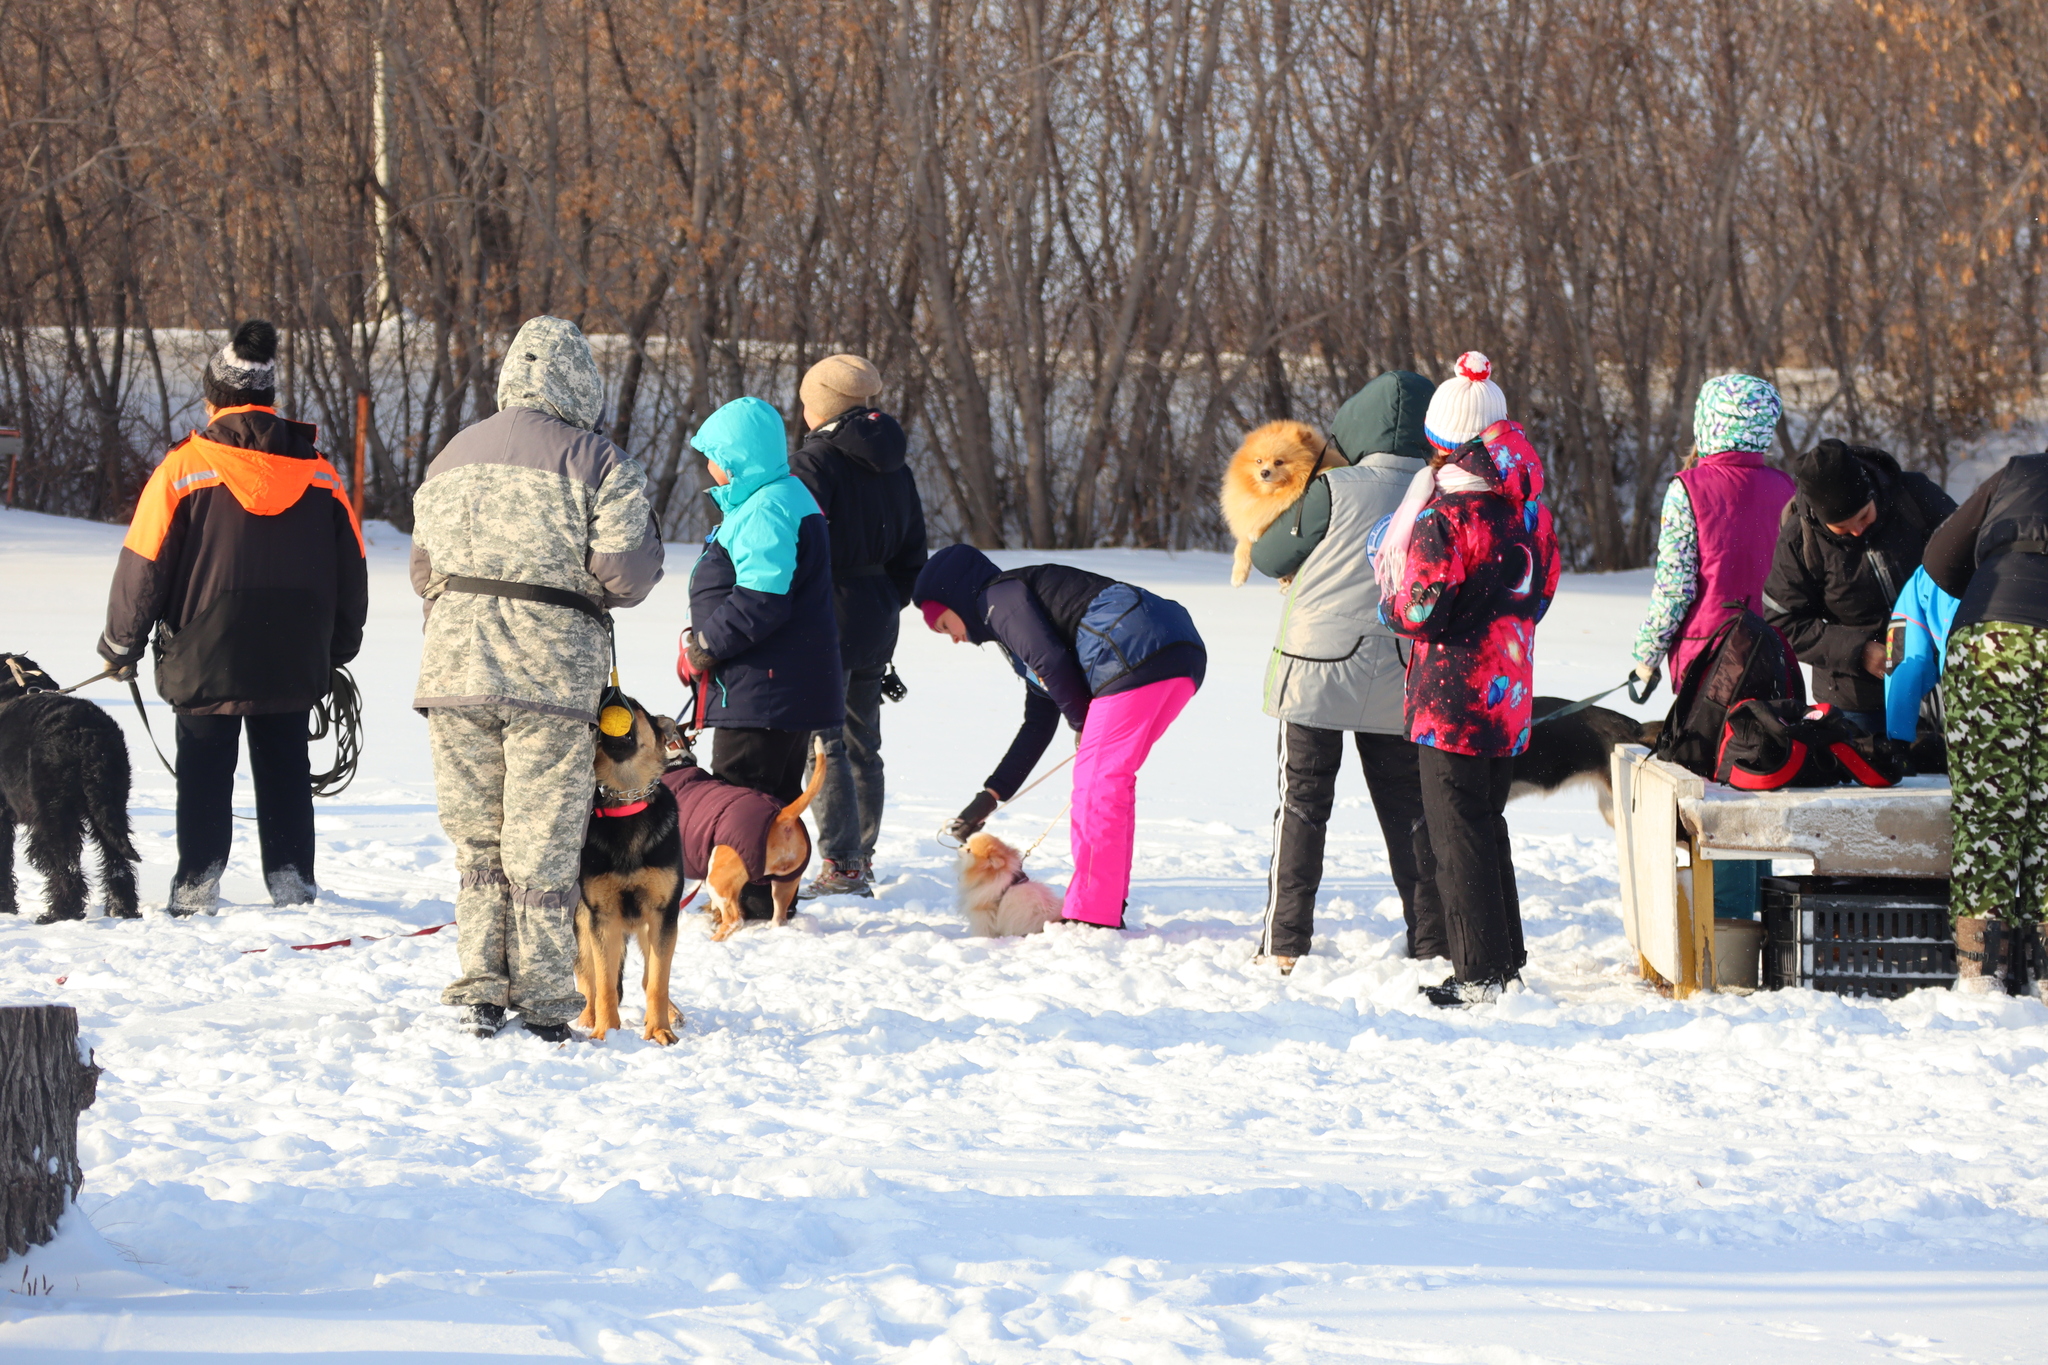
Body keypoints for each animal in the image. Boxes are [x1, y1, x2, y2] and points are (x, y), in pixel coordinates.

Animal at [2, 654, 140, 929]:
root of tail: (89, 738)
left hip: (54, 813)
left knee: (65, 866)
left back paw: (59, 914)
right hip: (112, 804)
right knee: (117, 861)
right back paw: (123, 909)